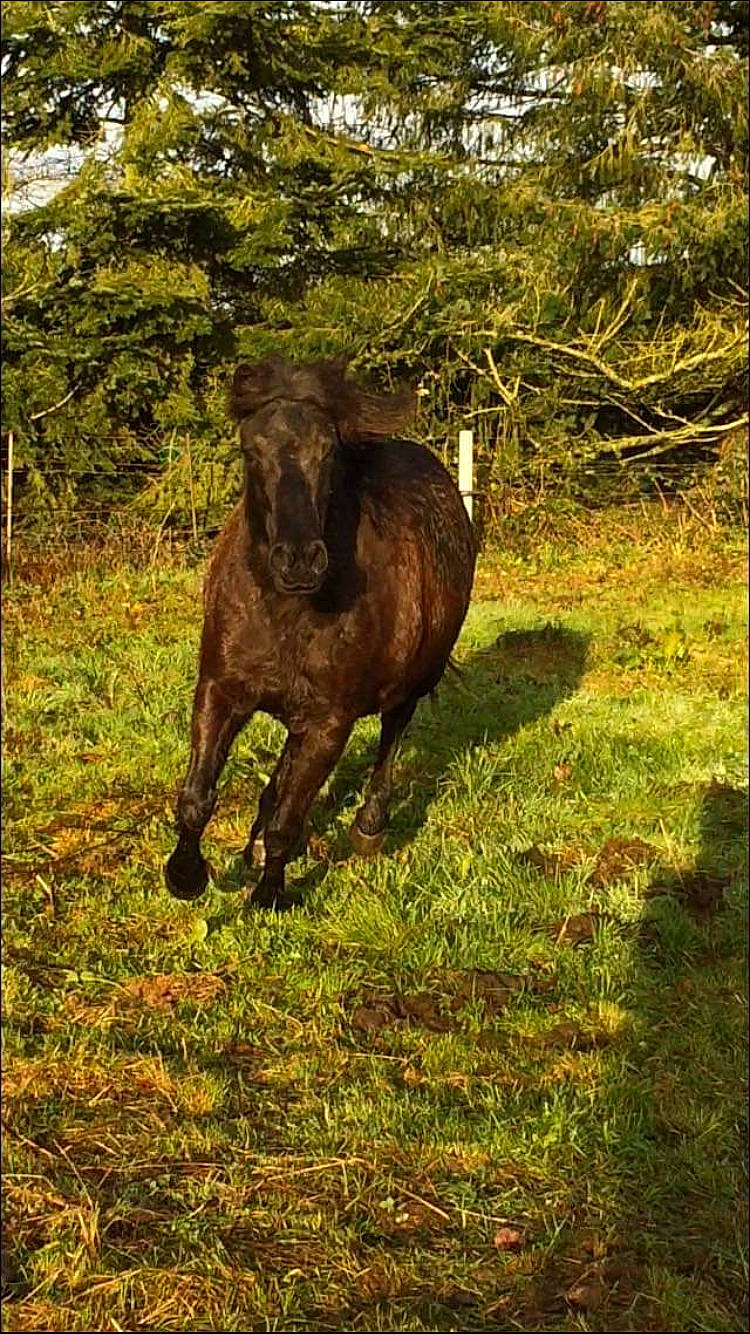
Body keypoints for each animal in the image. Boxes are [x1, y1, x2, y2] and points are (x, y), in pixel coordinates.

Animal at [165, 355, 476, 908]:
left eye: (328, 451)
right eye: (250, 450)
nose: (299, 560)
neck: (286, 610)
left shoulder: (332, 721)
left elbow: (289, 821)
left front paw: (269, 896)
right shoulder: (220, 690)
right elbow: (198, 796)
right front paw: (185, 875)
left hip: (413, 682)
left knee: (392, 736)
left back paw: (368, 827)